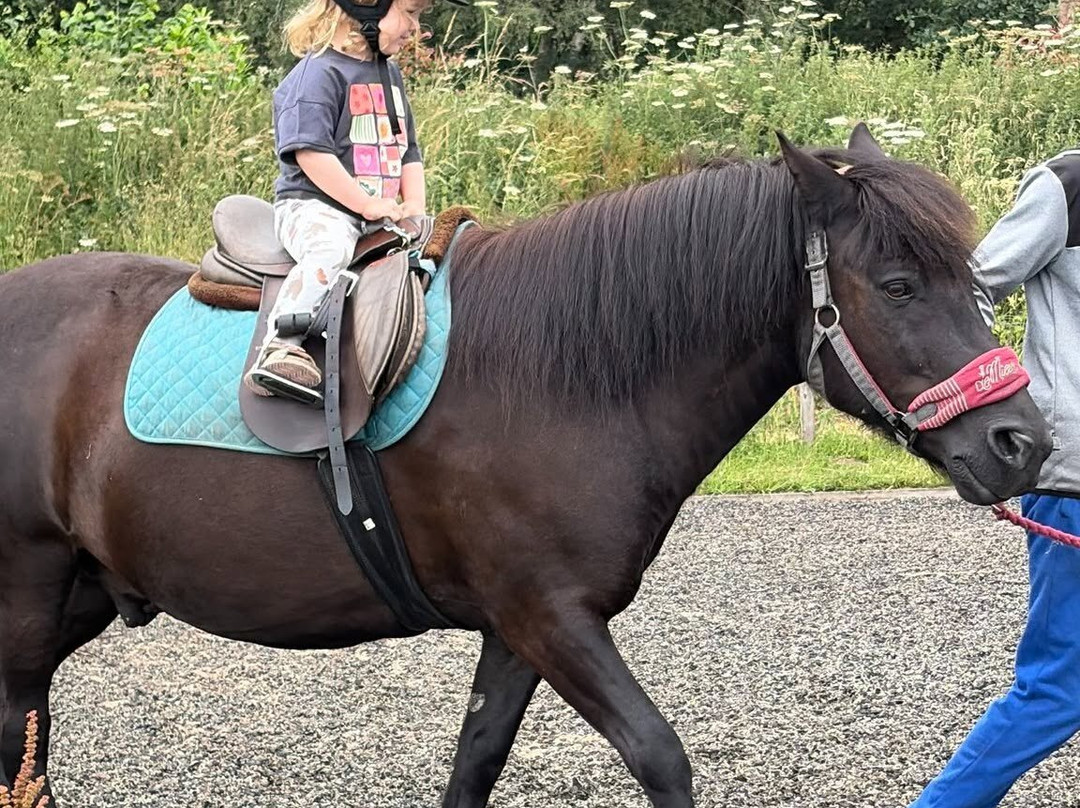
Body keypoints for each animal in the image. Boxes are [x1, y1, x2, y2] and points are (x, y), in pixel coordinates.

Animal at [0, 125, 1052, 807]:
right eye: (899, 284)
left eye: (971, 276)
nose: (1023, 443)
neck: (559, 379)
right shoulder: (552, 620)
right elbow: (662, 757)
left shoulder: (519, 632)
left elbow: (474, 764)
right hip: (30, 595)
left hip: (83, 593)